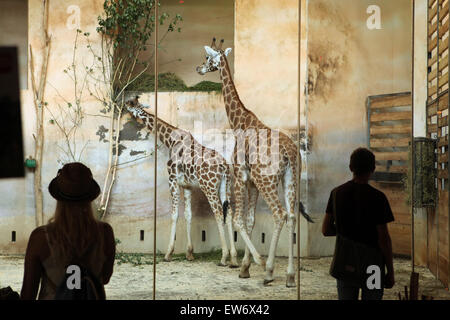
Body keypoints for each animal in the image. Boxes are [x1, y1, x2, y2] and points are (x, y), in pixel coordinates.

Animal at [195, 38, 314, 286]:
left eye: (208, 57)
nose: (198, 68)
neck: (239, 123)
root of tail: (290, 153)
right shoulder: (251, 182)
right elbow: (250, 220)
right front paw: (245, 268)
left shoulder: (240, 176)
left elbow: (238, 219)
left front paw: (253, 263)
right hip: (290, 179)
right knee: (291, 217)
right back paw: (290, 276)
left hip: (267, 180)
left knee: (280, 214)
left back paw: (268, 271)